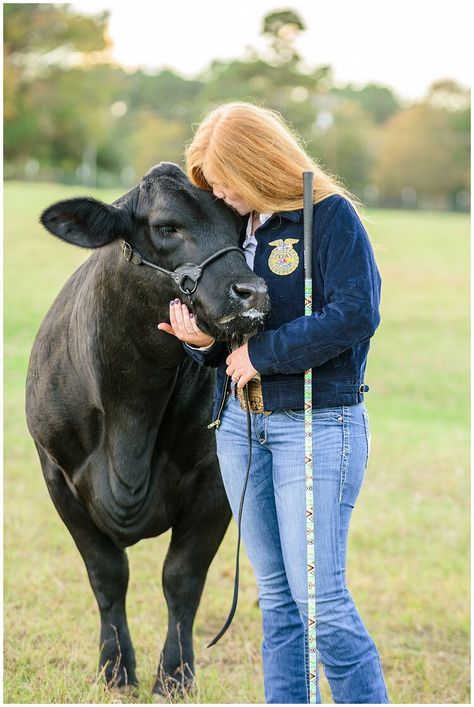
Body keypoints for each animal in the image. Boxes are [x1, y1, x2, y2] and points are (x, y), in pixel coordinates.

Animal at [25, 163, 270, 700]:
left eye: (237, 225)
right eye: (166, 227)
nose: (254, 294)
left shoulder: (214, 483)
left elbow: (182, 578)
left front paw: (174, 677)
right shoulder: (56, 475)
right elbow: (107, 574)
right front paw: (115, 670)